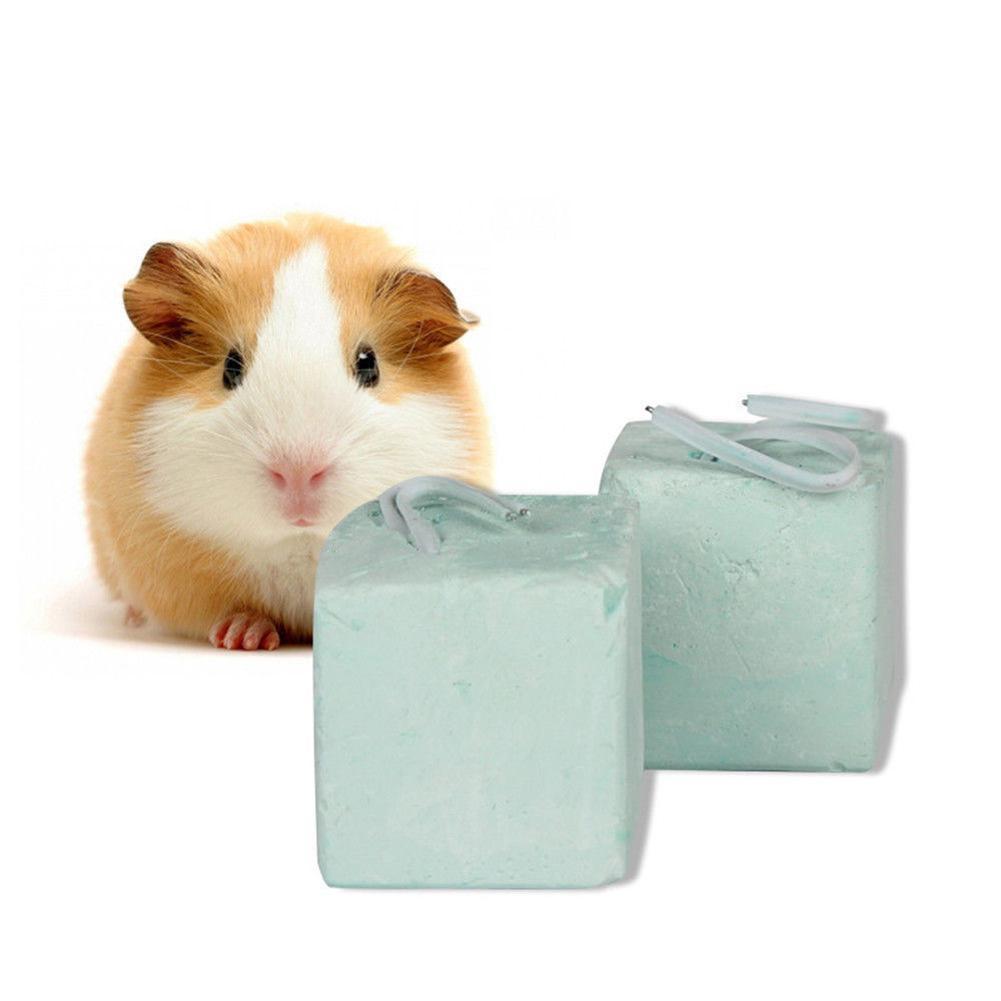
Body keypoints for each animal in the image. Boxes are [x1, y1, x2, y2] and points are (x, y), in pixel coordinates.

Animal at [85, 214, 490, 650]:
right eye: (230, 367)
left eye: (369, 364)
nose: (298, 472)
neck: (301, 543)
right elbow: (236, 611)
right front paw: (243, 636)